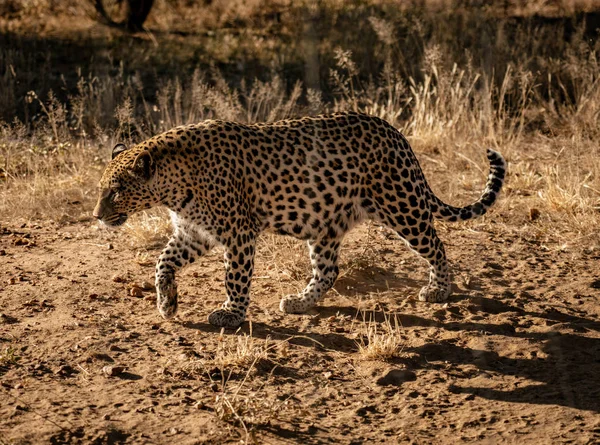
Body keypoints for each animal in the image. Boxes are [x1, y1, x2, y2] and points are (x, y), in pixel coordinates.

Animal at [94, 110, 506, 326]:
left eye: (115, 190)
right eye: (102, 188)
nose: (97, 216)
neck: (173, 184)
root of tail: (396, 134)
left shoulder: (238, 233)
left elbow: (234, 278)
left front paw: (231, 314)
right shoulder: (194, 232)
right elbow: (162, 262)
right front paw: (167, 302)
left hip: (402, 206)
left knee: (436, 244)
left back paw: (439, 290)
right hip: (325, 222)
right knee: (328, 271)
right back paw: (299, 303)